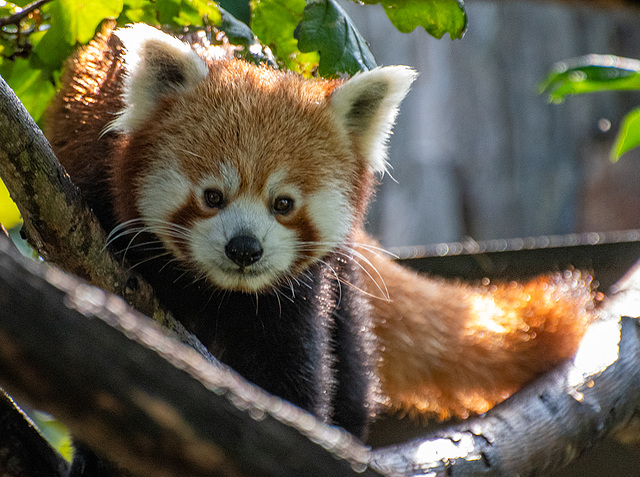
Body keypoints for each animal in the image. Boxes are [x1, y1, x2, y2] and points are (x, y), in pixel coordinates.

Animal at [46, 21, 596, 438]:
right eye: (212, 197)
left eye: (284, 204)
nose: (244, 248)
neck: (216, 292)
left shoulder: (297, 297)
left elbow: (295, 372)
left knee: (351, 366)